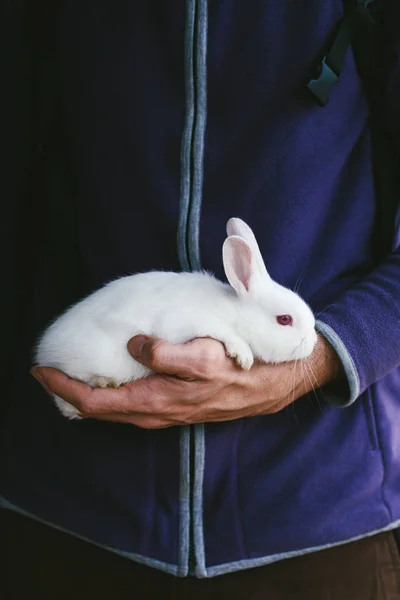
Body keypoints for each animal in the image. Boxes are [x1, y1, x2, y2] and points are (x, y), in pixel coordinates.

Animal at [34, 218, 318, 420]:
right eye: (284, 319)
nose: (313, 342)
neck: (235, 311)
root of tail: (45, 351)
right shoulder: (186, 323)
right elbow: (224, 334)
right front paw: (243, 355)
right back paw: (104, 382)